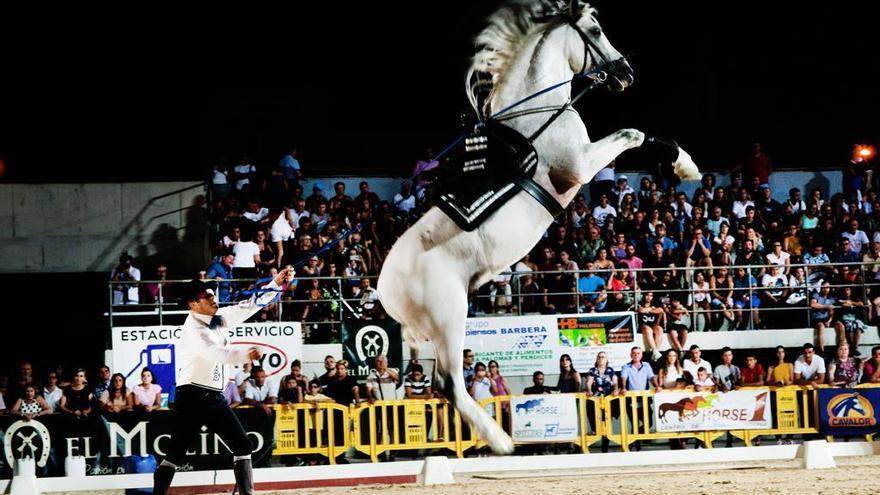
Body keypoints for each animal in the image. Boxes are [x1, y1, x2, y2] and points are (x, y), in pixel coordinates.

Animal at [378, 0, 700, 456]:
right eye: (596, 30)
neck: (539, 116)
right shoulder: (580, 165)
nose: (624, 73)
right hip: (450, 317)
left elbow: (636, 134)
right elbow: (632, 133)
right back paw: (499, 440)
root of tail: (385, 290)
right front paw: (684, 164)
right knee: (450, 383)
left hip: (427, 334)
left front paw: (685, 164)